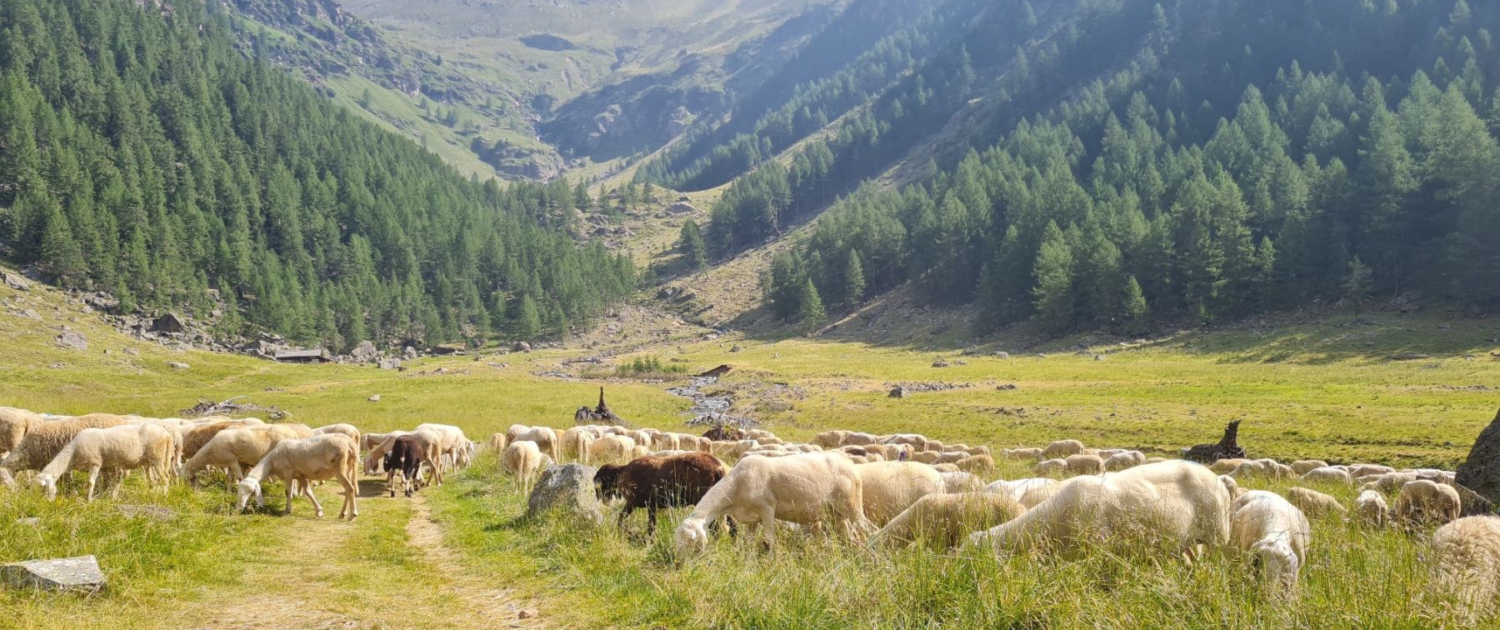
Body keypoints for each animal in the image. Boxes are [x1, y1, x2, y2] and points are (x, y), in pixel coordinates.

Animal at [36, 423, 175, 501]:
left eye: (45, 487)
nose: (47, 502)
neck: (72, 454)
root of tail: (167, 435)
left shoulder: (95, 462)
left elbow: (91, 482)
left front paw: (89, 498)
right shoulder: (104, 466)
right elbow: (103, 483)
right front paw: (100, 496)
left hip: (157, 458)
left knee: (165, 478)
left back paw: (165, 495)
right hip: (149, 462)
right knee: (153, 481)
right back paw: (152, 495)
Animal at [591, 450, 726, 534]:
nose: (604, 502)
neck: (621, 473)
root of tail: (718, 468)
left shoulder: (632, 503)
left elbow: (622, 518)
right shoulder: (651, 505)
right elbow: (652, 525)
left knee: (715, 527)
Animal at [675, 450, 876, 555]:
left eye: (691, 540)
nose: (680, 564)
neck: (736, 485)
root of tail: (850, 465)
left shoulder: (767, 509)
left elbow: (769, 540)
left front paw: (770, 560)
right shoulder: (752, 519)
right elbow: (748, 542)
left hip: (850, 504)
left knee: (868, 528)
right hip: (836, 514)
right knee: (849, 536)